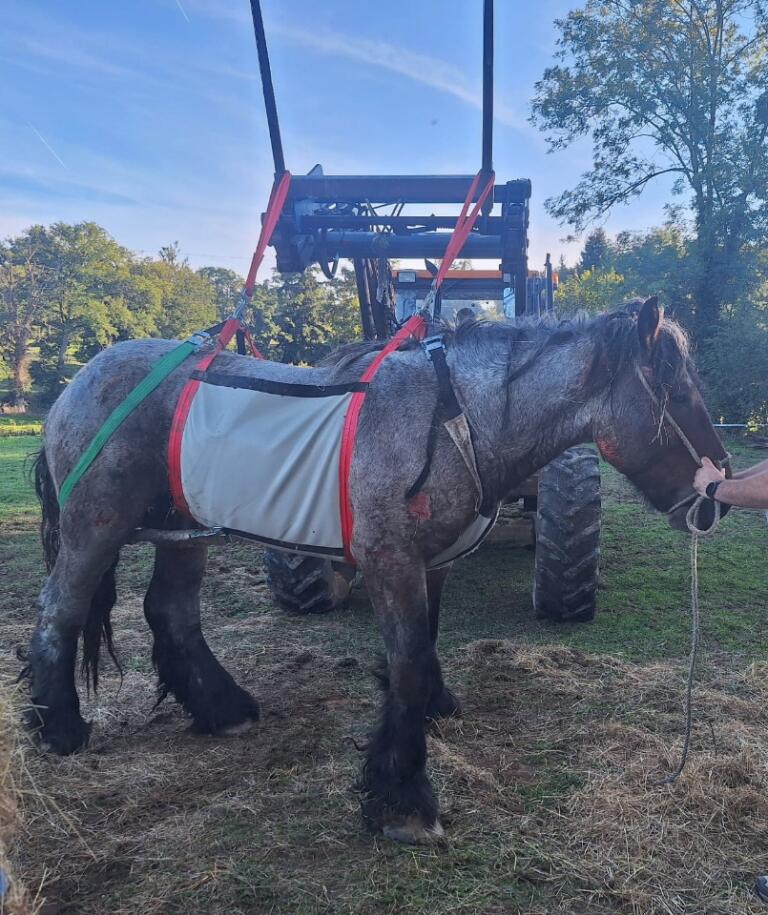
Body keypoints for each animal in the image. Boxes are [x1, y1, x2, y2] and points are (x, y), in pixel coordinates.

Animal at [25, 296, 729, 843]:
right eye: (679, 393)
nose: (716, 497)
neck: (451, 418)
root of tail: (80, 380)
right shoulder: (391, 563)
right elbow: (409, 663)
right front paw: (404, 798)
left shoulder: (431, 565)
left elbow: (423, 649)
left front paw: (433, 713)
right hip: (95, 529)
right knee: (60, 609)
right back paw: (59, 727)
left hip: (183, 527)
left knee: (170, 611)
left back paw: (222, 708)